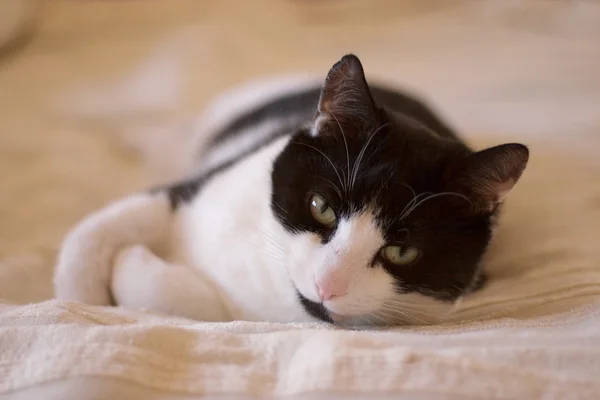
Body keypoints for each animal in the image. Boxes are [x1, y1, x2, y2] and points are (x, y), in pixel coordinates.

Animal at [52, 54, 528, 326]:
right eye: (321, 207)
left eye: (402, 252)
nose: (327, 284)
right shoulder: (201, 186)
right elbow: (99, 231)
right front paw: (80, 305)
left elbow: (200, 306)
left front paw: (131, 268)